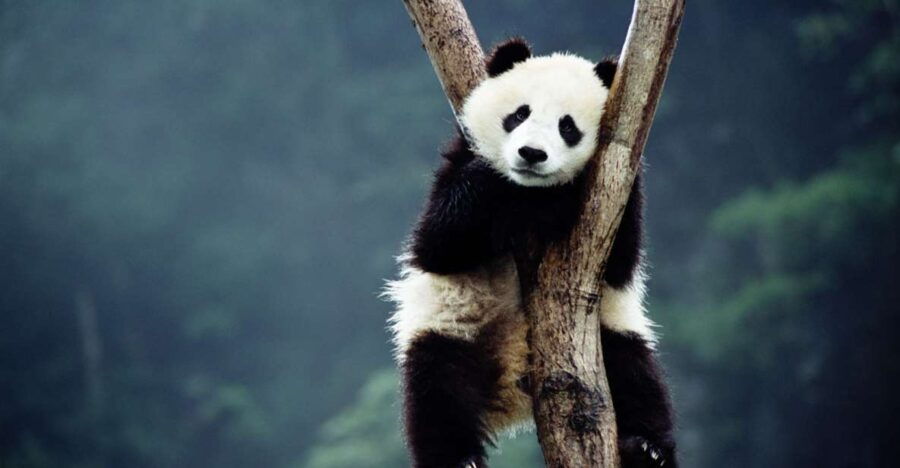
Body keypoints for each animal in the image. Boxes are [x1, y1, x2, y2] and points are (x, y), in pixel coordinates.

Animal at [385, 38, 676, 468]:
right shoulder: (458, 162)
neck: (529, 191)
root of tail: (512, 390)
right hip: (452, 326)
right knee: (437, 388)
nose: (531, 154)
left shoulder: (618, 189)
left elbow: (620, 263)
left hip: (611, 335)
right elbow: (438, 243)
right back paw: (458, 458)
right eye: (519, 114)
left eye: (567, 126)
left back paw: (647, 450)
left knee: (637, 377)